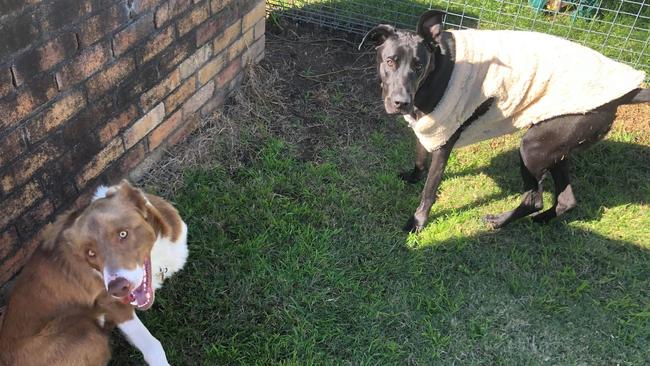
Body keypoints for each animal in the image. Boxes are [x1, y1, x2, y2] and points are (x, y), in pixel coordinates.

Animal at [0, 181, 187, 366]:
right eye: (90, 253)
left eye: (123, 234)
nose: (117, 288)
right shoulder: (110, 301)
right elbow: (151, 345)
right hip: (85, 331)